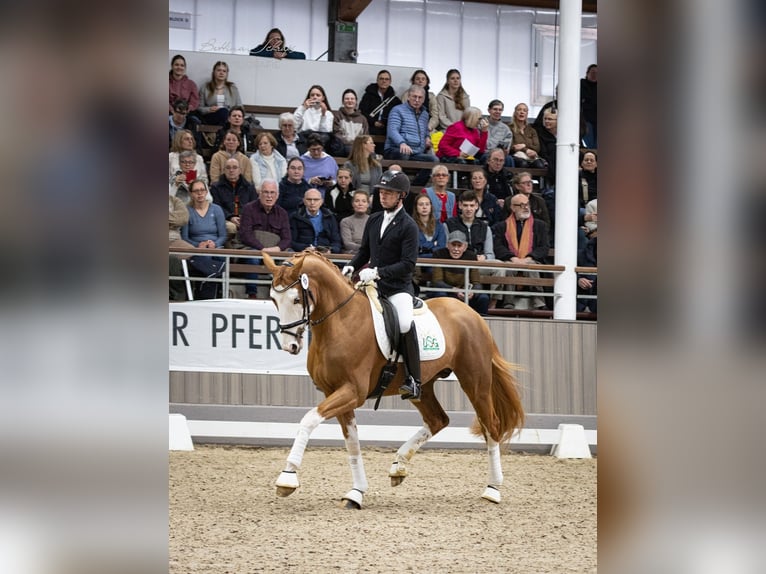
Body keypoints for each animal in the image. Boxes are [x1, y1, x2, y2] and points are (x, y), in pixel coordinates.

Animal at [266, 250, 528, 510]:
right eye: (273, 299)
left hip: (475, 382)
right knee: (438, 420)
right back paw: (399, 466)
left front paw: (287, 478)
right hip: (423, 388)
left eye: (296, 300)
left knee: (491, 425)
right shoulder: (335, 392)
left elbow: (308, 420)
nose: (290, 346)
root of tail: (472, 314)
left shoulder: (352, 392)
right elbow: (352, 442)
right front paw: (356, 493)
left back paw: (492, 489)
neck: (342, 320)